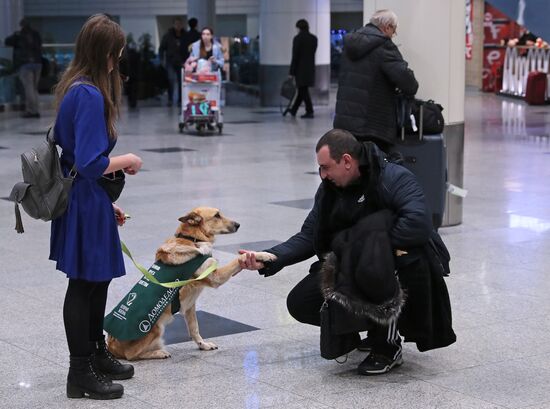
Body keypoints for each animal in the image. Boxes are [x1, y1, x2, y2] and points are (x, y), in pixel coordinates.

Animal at [106, 207, 278, 360]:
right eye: (217, 215)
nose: (238, 224)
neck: (193, 240)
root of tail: (110, 345)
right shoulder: (216, 277)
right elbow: (239, 259)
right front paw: (264, 255)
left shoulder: (190, 305)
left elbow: (194, 328)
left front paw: (203, 345)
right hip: (154, 328)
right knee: (131, 355)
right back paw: (158, 353)